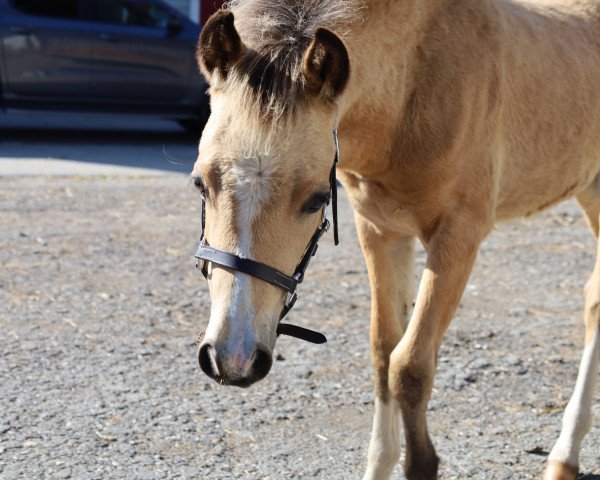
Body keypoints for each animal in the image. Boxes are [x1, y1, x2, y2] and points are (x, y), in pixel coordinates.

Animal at [191, 1, 600, 478]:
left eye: (317, 199)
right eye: (200, 183)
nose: (233, 359)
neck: (415, 87)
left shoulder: (458, 237)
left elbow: (411, 365)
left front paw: (423, 462)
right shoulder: (381, 231)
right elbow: (384, 351)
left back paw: (564, 455)